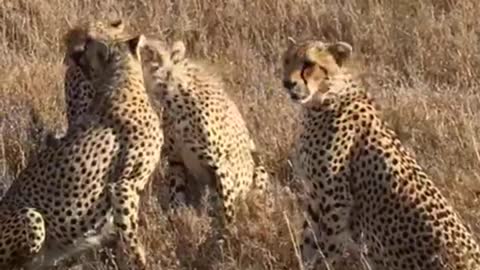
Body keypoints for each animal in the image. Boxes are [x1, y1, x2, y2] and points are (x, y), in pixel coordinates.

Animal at [0, 30, 162, 268]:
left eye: (85, 51)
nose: (73, 55)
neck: (122, 79)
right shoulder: (123, 185)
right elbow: (130, 237)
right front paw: (140, 262)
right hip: (32, 217)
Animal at [141, 38, 272, 224]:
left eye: (151, 51)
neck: (173, 96)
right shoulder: (175, 159)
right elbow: (176, 194)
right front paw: (176, 219)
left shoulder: (221, 164)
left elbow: (228, 208)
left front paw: (228, 229)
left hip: (257, 165)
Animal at [282, 38, 480, 270]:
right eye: (286, 61)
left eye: (309, 64)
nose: (287, 83)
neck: (327, 97)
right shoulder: (315, 196)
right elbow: (308, 242)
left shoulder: (335, 203)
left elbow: (325, 246)